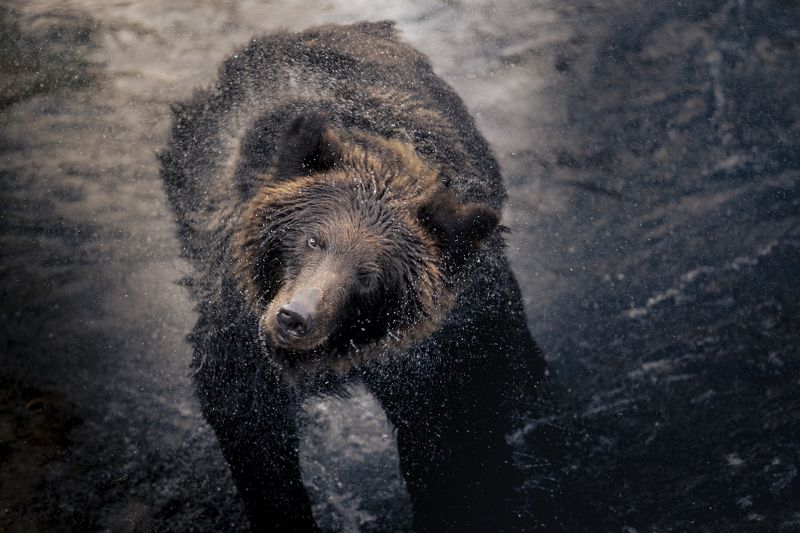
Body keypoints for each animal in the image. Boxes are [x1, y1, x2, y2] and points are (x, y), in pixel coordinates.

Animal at [159, 21, 545, 532]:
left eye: (368, 276)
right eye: (312, 240)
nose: (294, 319)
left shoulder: (433, 352)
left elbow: (446, 444)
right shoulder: (242, 327)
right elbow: (252, 427)